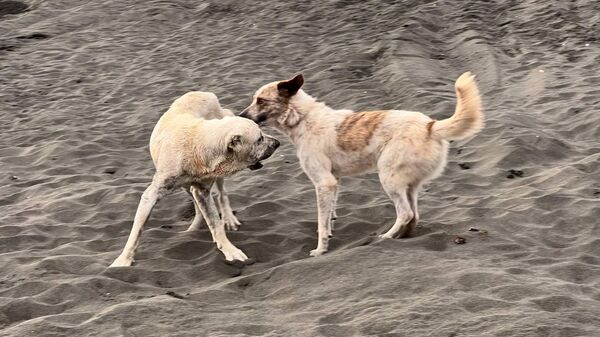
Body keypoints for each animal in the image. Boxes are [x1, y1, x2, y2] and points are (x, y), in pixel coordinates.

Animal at [110, 90, 278, 266]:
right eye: (259, 139)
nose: (277, 143)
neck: (196, 144)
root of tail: (205, 93)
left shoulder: (203, 190)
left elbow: (215, 223)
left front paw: (230, 250)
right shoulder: (153, 194)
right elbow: (136, 231)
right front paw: (123, 260)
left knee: (221, 195)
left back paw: (228, 218)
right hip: (187, 186)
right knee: (197, 204)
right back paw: (193, 230)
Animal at [239, 71, 482, 255]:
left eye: (261, 101)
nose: (241, 115)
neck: (302, 118)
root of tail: (430, 125)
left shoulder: (324, 183)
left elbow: (321, 222)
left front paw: (320, 249)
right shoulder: (334, 181)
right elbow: (330, 214)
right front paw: (329, 232)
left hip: (388, 178)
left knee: (405, 213)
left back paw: (386, 237)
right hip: (408, 185)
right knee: (414, 215)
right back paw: (402, 236)